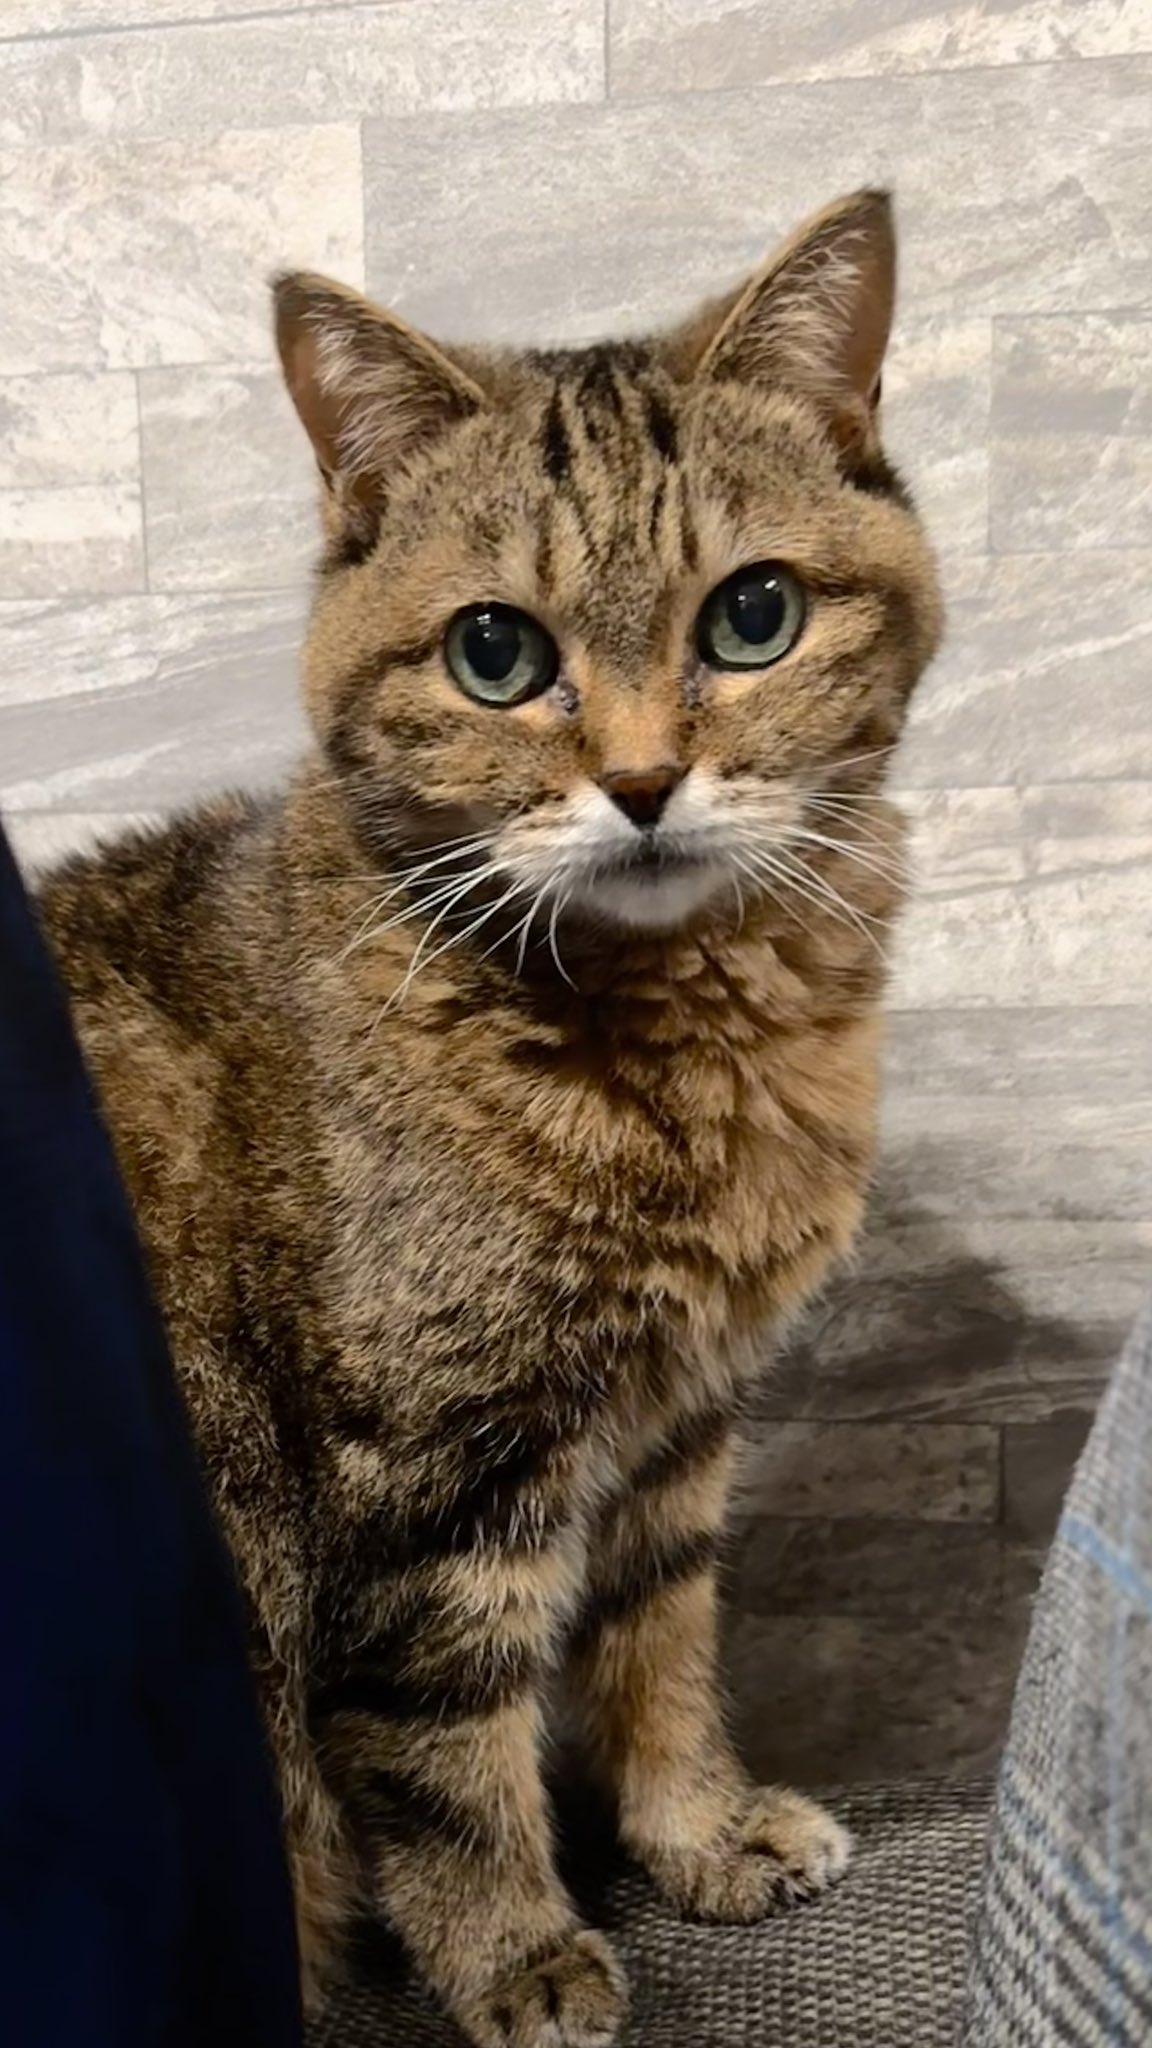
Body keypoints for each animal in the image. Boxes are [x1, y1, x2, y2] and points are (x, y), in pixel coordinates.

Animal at [38, 187, 940, 2048]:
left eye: (753, 615)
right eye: (493, 652)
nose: (646, 780)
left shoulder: (673, 1431)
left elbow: (662, 1649)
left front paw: (696, 1829)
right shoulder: (432, 1477)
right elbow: (450, 1760)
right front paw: (520, 1954)